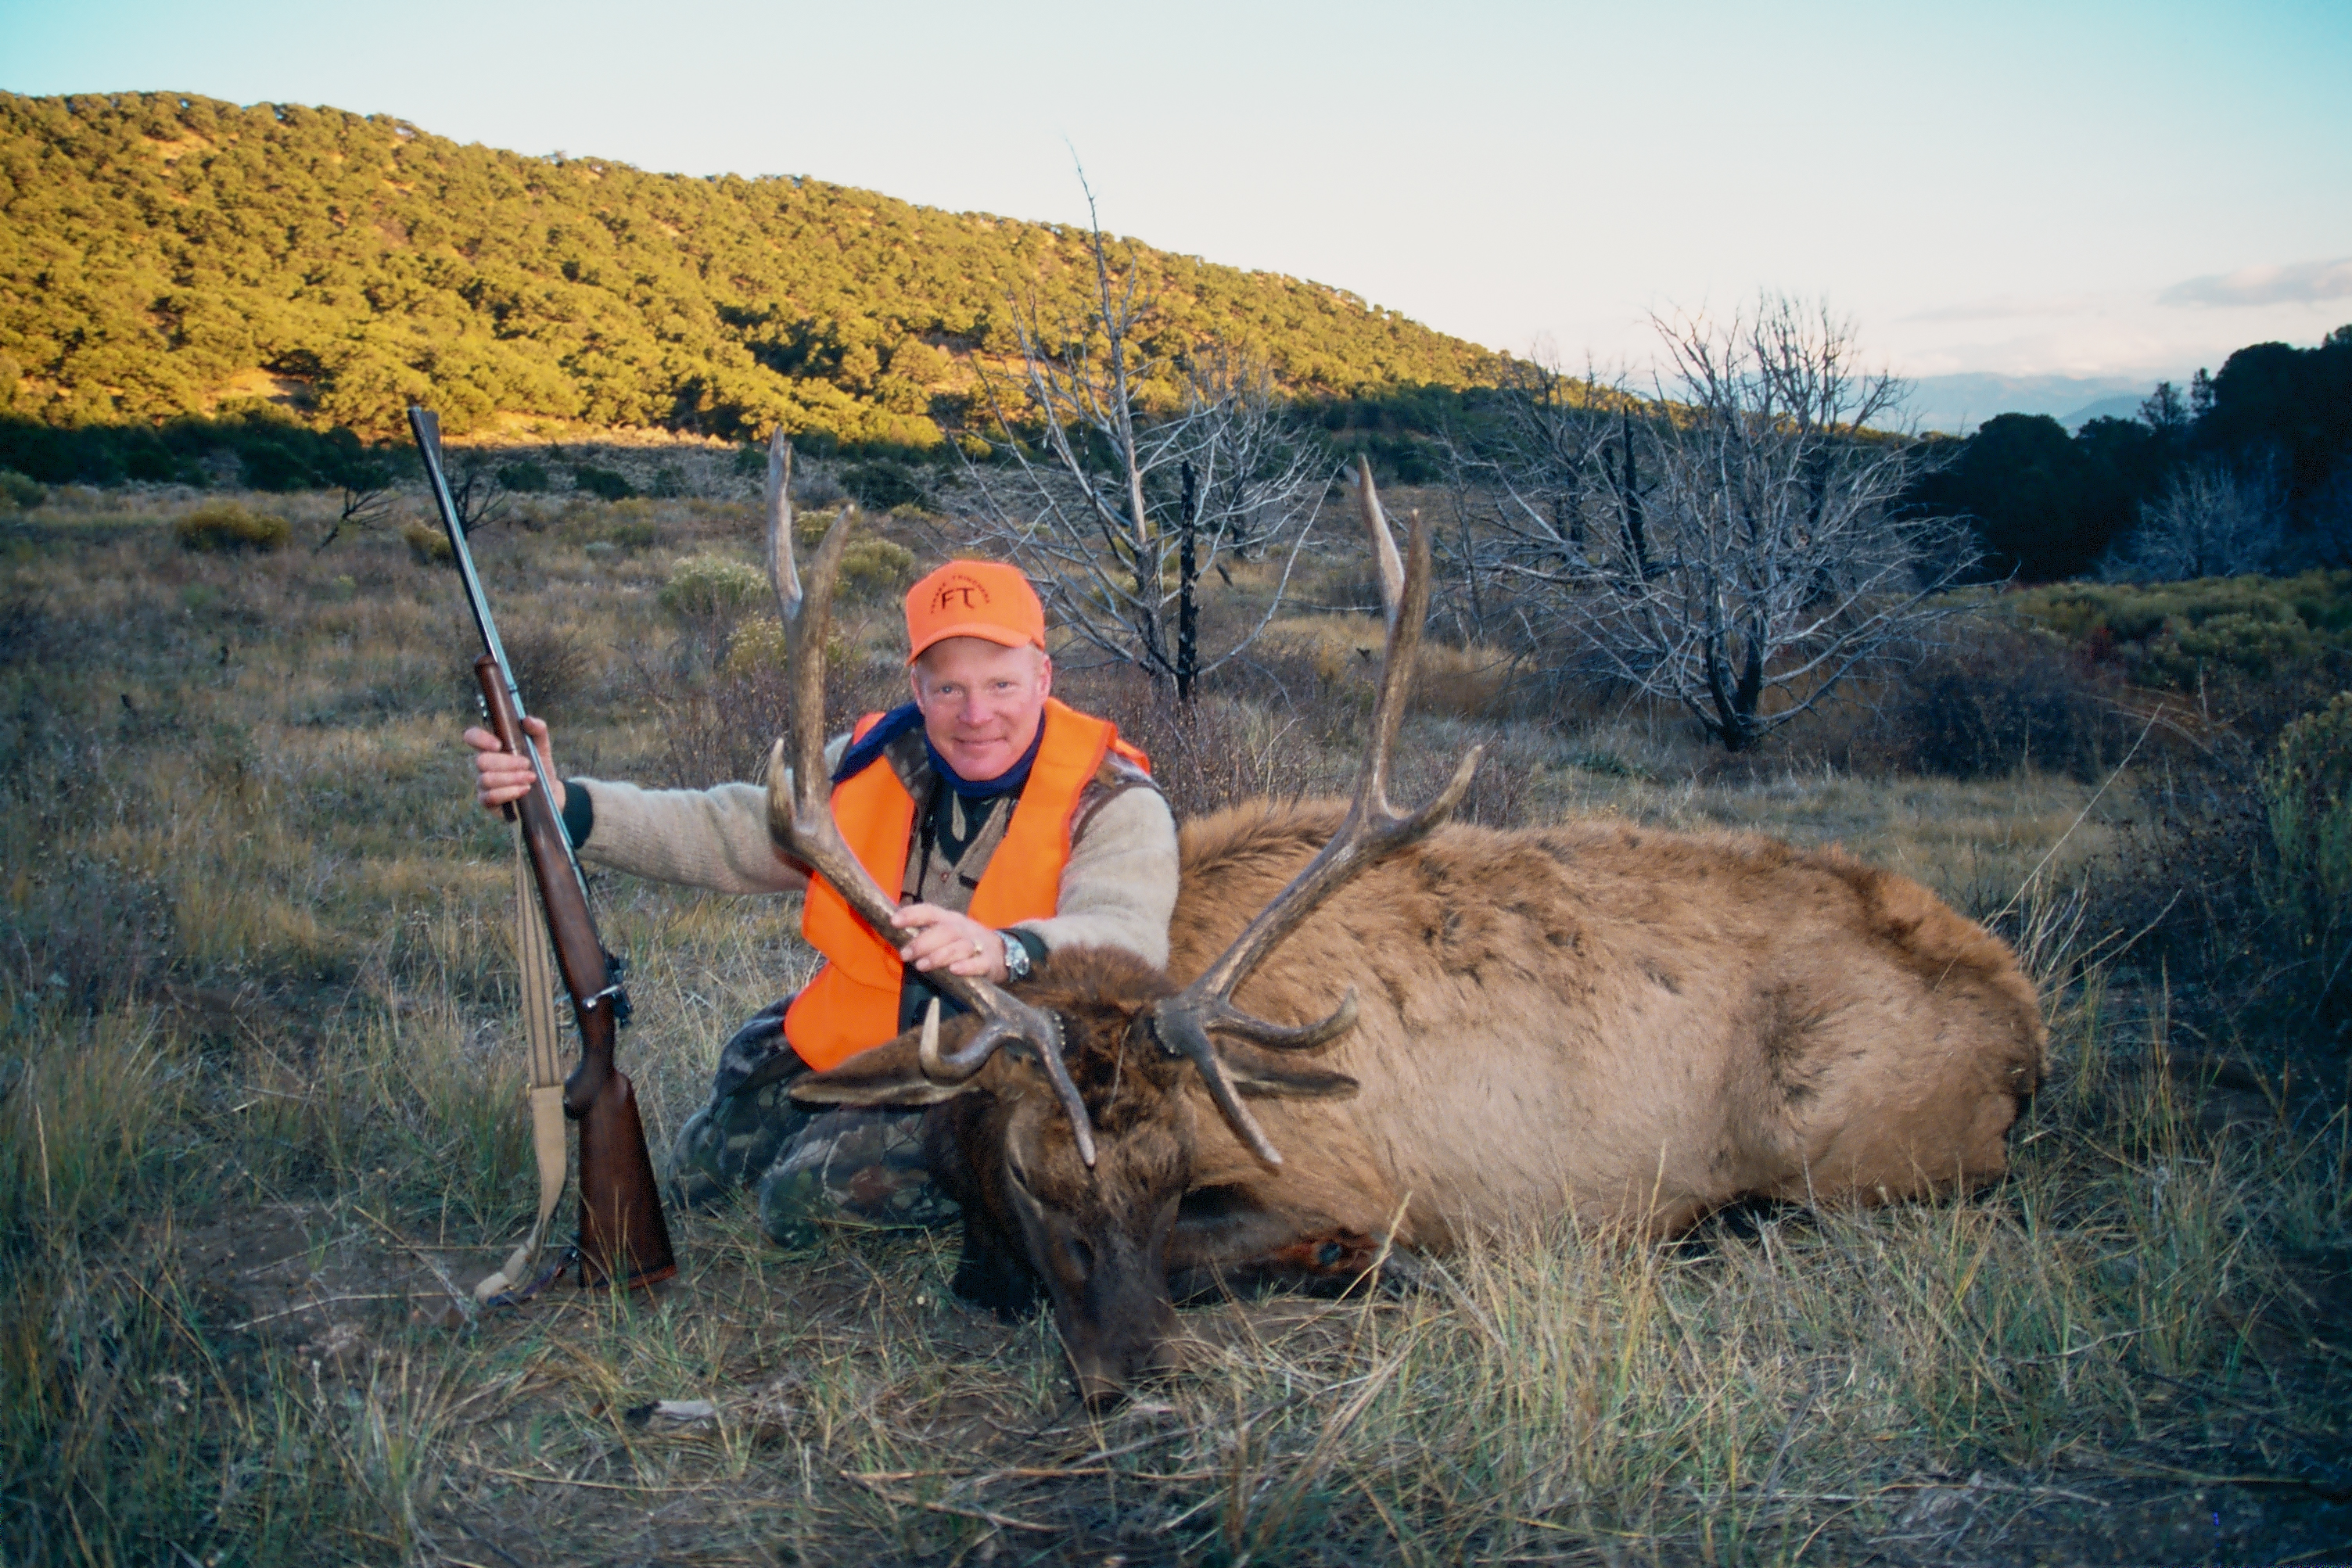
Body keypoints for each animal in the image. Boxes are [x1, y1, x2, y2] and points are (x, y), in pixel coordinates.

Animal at [752, 440, 2041, 1401]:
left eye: (1172, 1172)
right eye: (1030, 1176)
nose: (1137, 1372)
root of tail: (2026, 1028)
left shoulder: (1341, 1176)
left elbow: (1257, 1242)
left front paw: (1343, 1262)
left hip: (1854, 1145)